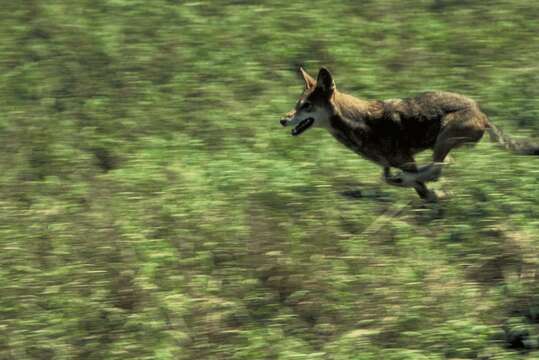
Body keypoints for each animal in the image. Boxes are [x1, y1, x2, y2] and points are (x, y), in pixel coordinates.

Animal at [280, 66, 536, 201]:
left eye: (306, 106)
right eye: (297, 104)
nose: (282, 120)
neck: (359, 123)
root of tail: (483, 114)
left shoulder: (407, 160)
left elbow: (412, 180)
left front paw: (427, 190)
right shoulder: (391, 164)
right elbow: (397, 181)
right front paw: (434, 197)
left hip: (444, 136)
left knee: (439, 167)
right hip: (442, 143)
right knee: (440, 166)